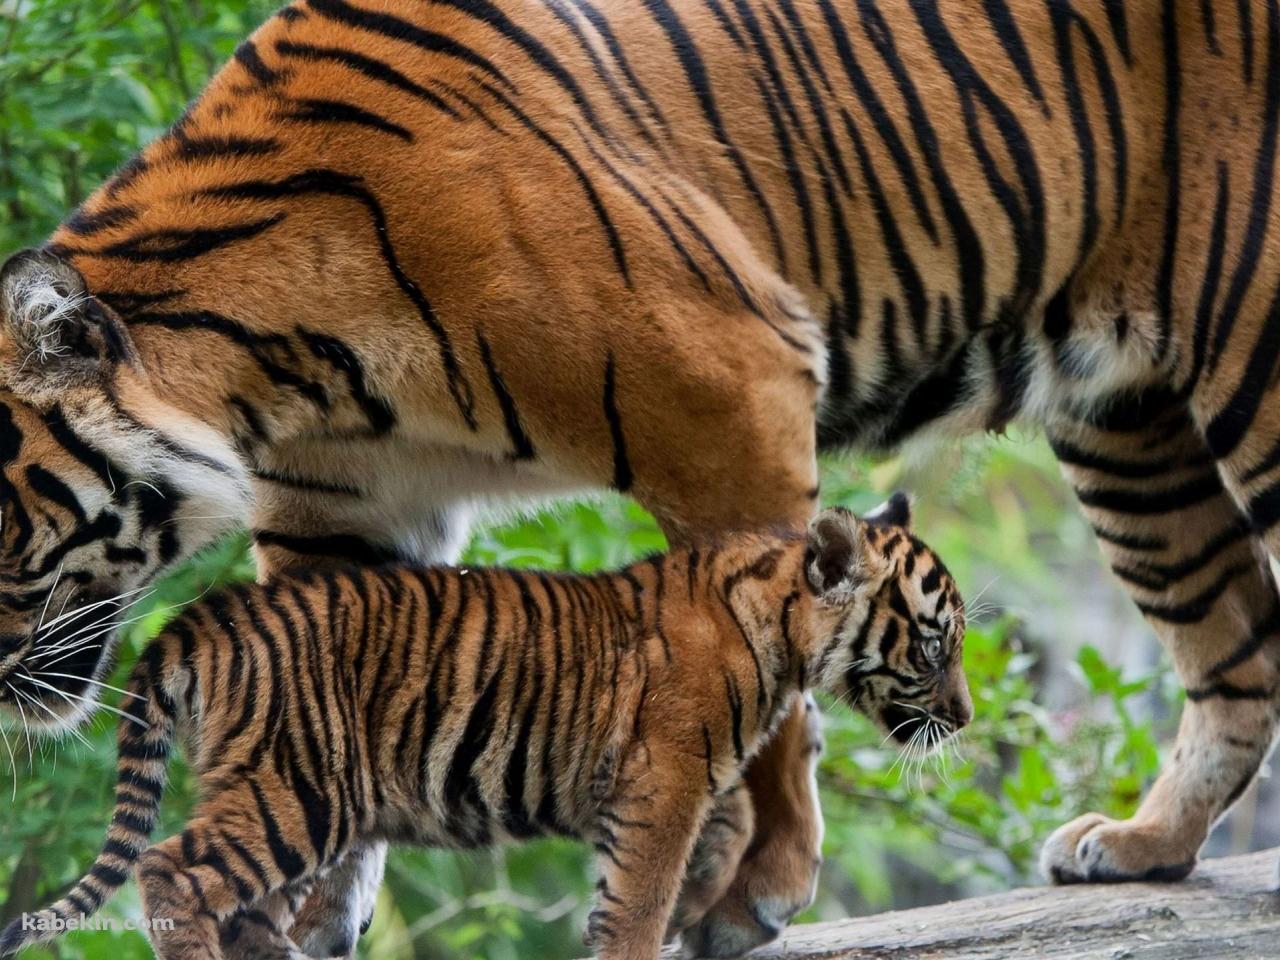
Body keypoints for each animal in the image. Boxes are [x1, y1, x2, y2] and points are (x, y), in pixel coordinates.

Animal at [0, 502, 968, 960]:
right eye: (934, 644)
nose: (960, 718)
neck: (778, 624)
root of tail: (203, 616)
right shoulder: (664, 780)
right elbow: (641, 895)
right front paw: (657, 928)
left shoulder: (672, 777)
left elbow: (722, 834)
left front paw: (711, 909)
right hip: (298, 788)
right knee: (173, 872)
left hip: (277, 793)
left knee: (238, 908)